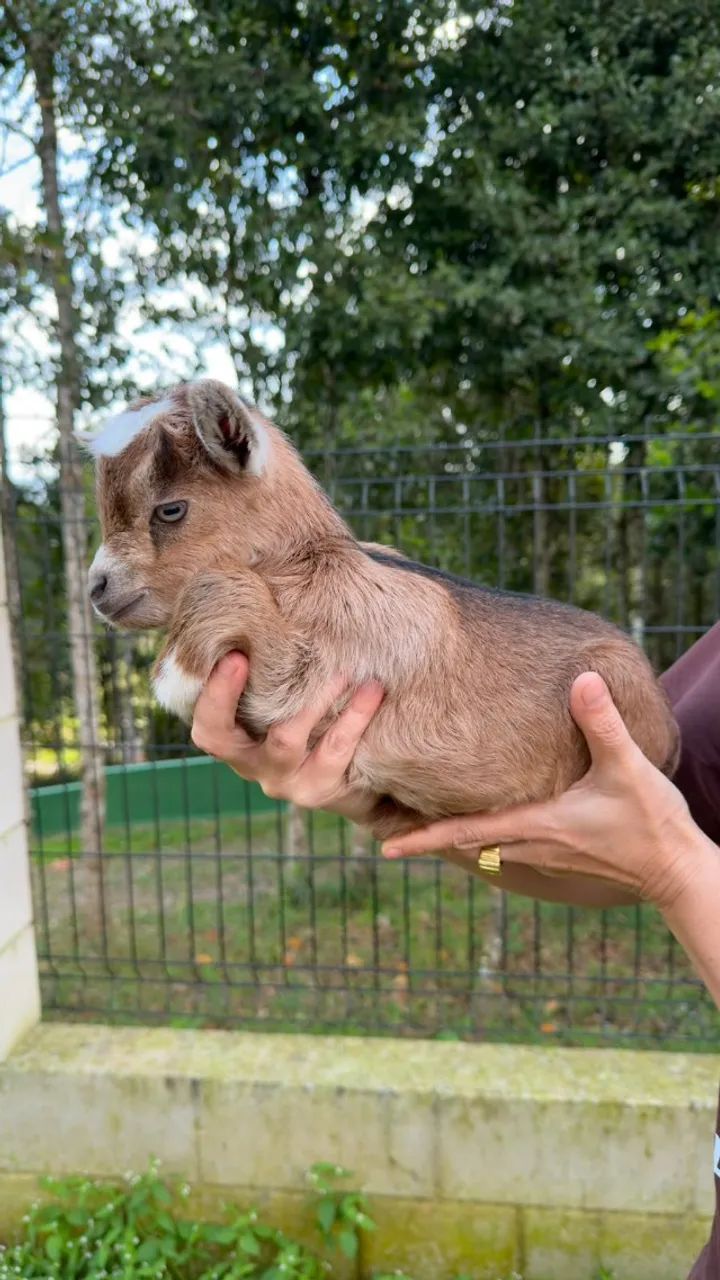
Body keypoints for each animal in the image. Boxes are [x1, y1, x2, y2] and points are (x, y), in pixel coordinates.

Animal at [86, 379, 679, 839]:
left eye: (170, 509)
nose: (97, 586)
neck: (310, 566)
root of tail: (670, 739)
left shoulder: (336, 667)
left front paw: (175, 674)